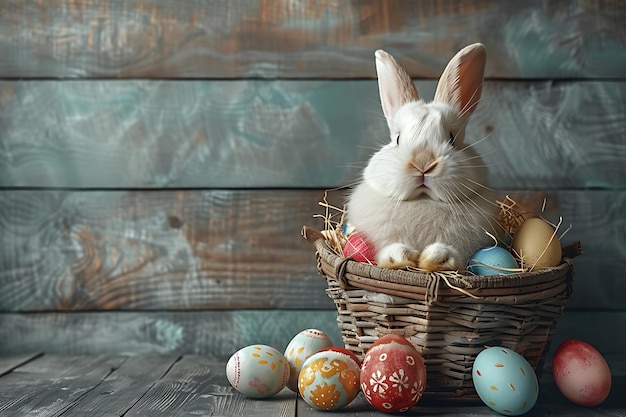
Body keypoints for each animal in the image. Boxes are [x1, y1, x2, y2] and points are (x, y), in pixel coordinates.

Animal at [346, 44, 498, 272]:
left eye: (452, 139)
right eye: (398, 139)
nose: (423, 165)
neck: (424, 200)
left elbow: (453, 256)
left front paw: (438, 258)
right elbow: (389, 251)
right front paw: (399, 257)